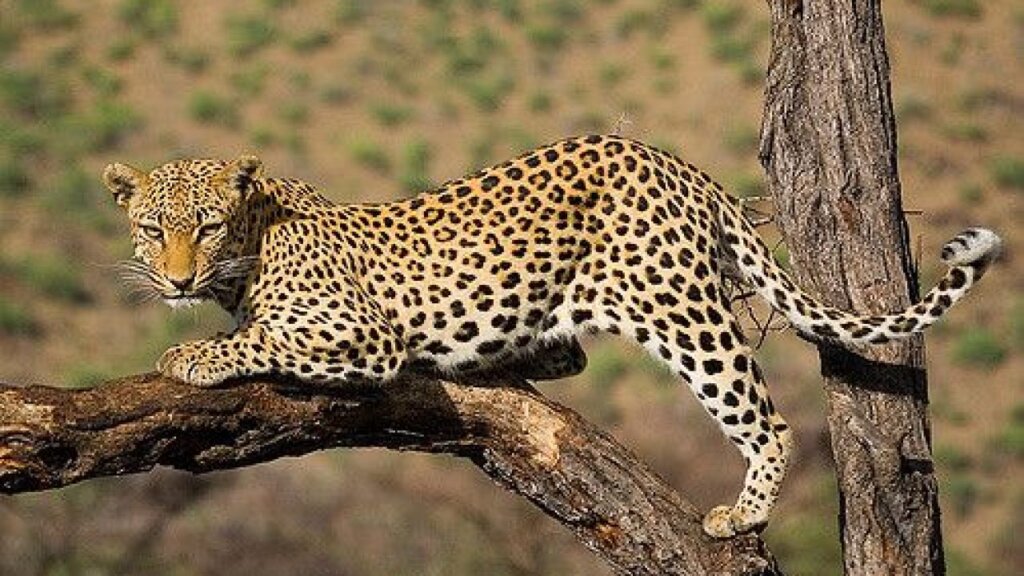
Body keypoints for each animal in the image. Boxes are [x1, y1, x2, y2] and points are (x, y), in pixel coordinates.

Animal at [104, 134, 1001, 538]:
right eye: (151, 230)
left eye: (205, 227)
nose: (176, 281)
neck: (250, 246)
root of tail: (672, 160)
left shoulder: (364, 333)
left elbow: (265, 339)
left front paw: (191, 355)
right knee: (568, 351)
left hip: (681, 310)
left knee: (765, 417)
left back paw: (742, 517)